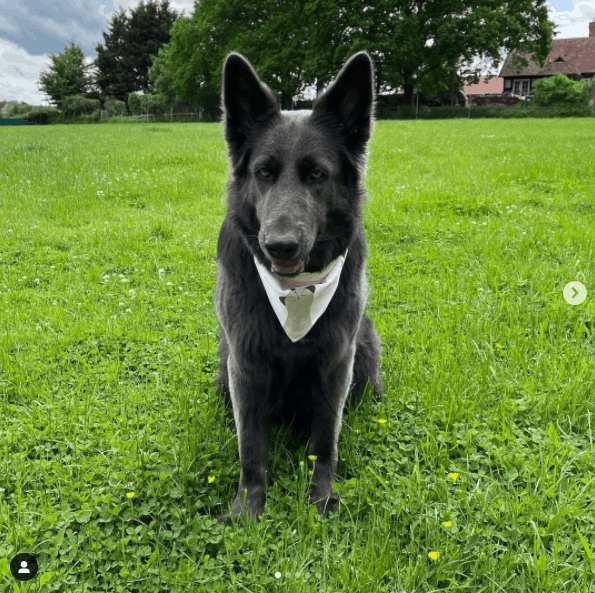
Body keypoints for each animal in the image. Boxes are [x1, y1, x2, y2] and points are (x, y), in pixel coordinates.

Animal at [214, 51, 382, 524]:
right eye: (264, 172)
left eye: (317, 175)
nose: (280, 244)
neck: (295, 297)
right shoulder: (244, 365)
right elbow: (251, 447)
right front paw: (248, 508)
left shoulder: (336, 362)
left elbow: (324, 440)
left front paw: (321, 496)